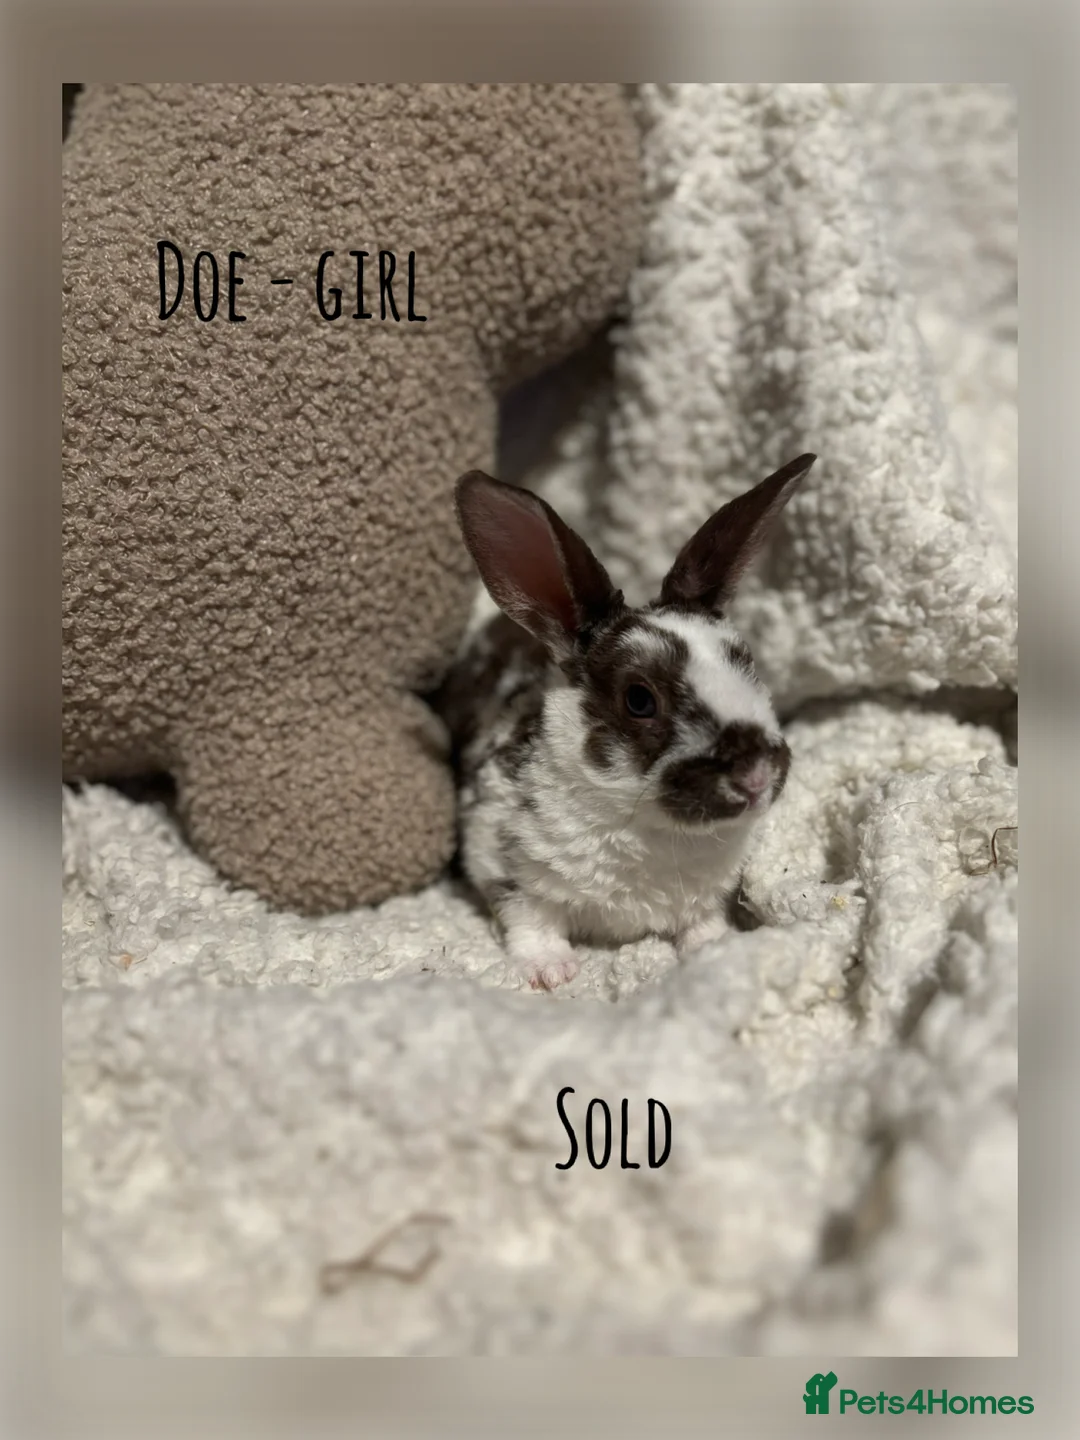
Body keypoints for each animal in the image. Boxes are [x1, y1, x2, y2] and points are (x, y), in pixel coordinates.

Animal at [436, 452, 817, 991]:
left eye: (746, 662)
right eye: (639, 699)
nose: (756, 775)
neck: (647, 825)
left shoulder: (704, 898)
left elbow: (702, 922)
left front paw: (713, 947)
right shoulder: (502, 856)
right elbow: (530, 920)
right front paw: (551, 972)